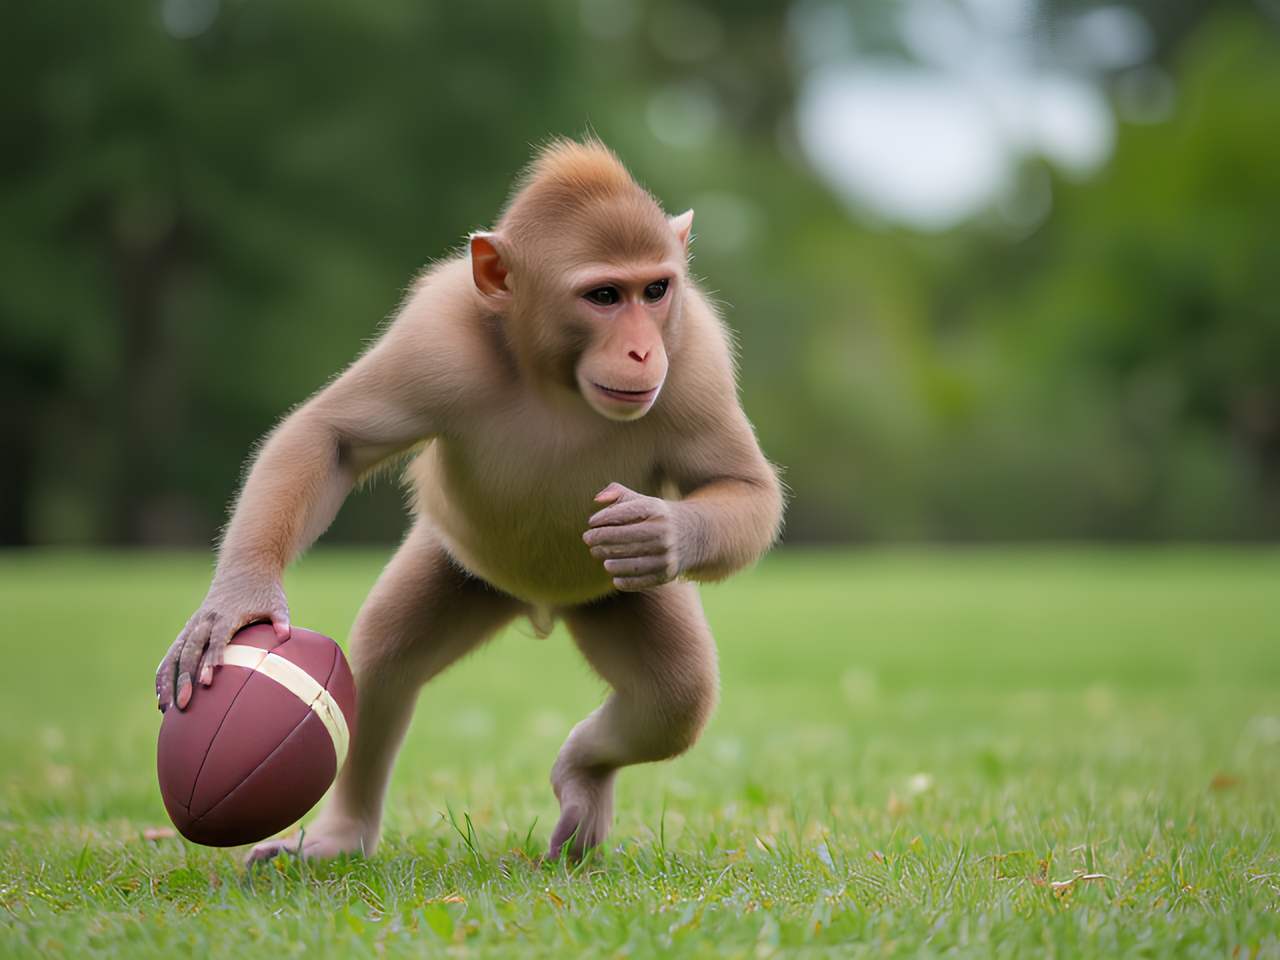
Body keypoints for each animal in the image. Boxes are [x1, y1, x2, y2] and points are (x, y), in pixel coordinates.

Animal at [155, 138, 784, 863]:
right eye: (604, 296)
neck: (554, 376)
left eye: (655, 290)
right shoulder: (436, 341)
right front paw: (240, 598)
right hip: (463, 565)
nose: (640, 348)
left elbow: (745, 487)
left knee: (674, 701)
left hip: (613, 594)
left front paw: (664, 532)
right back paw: (344, 833)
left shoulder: (695, 361)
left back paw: (581, 770)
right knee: (385, 659)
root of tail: (539, 607)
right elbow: (333, 437)